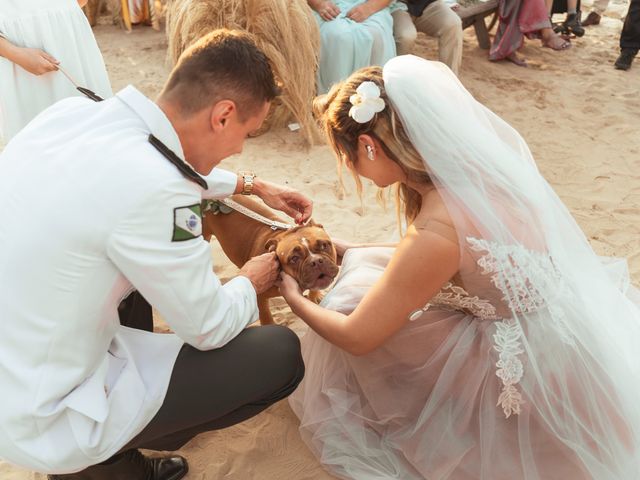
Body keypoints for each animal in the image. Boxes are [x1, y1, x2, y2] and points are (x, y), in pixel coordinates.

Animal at [202, 196, 340, 326]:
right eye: (294, 258)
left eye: (324, 246)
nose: (315, 261)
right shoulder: (259, 296)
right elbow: (265, 314)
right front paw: (269, 324)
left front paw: (315, 296)